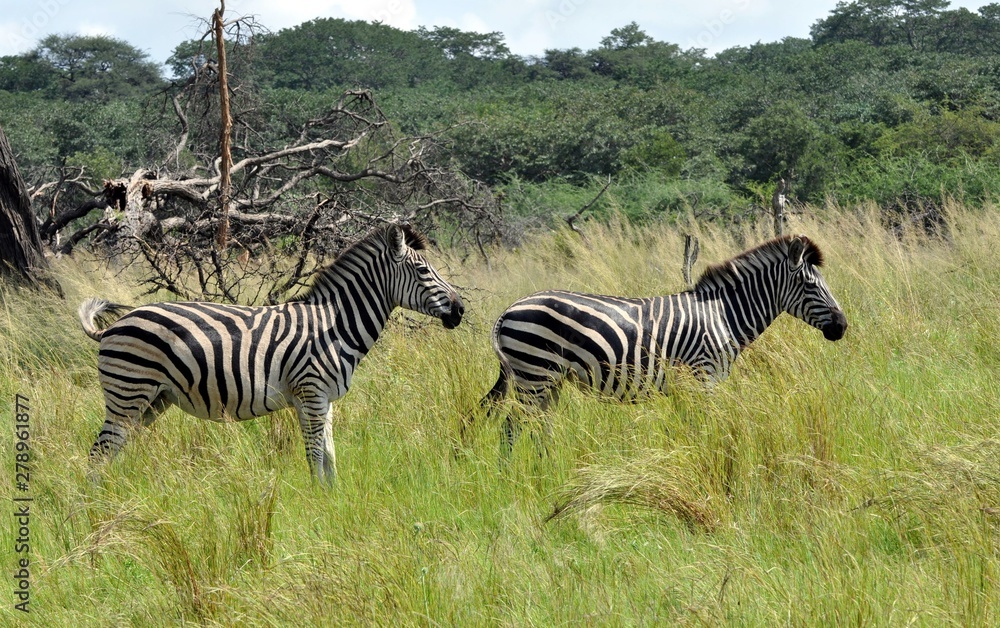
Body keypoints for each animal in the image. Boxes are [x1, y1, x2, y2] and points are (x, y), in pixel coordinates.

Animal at [79, 224, 463, 484]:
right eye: (423, 270)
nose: (460, 311)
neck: (335, 325)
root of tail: (112, 326)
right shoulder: (311, 394)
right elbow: (314, 456)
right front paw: (318, 504)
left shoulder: (325, 400)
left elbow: (330, 457)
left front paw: (334, 501)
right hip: (129, 392)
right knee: (98, 454)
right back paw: (96, 509)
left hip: (152, 401)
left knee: (112, 451)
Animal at [463, 234, 847, 454]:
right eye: (812, 286)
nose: (842, 327)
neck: (723, 315)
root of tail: (508, 310)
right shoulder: (703, 377)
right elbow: (704, 429)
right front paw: (707, 462)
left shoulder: (689, 385)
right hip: (534, 374)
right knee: (511, 429)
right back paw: (514, 478)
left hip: (546, 381)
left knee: (538, 429)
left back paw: (547, 469)